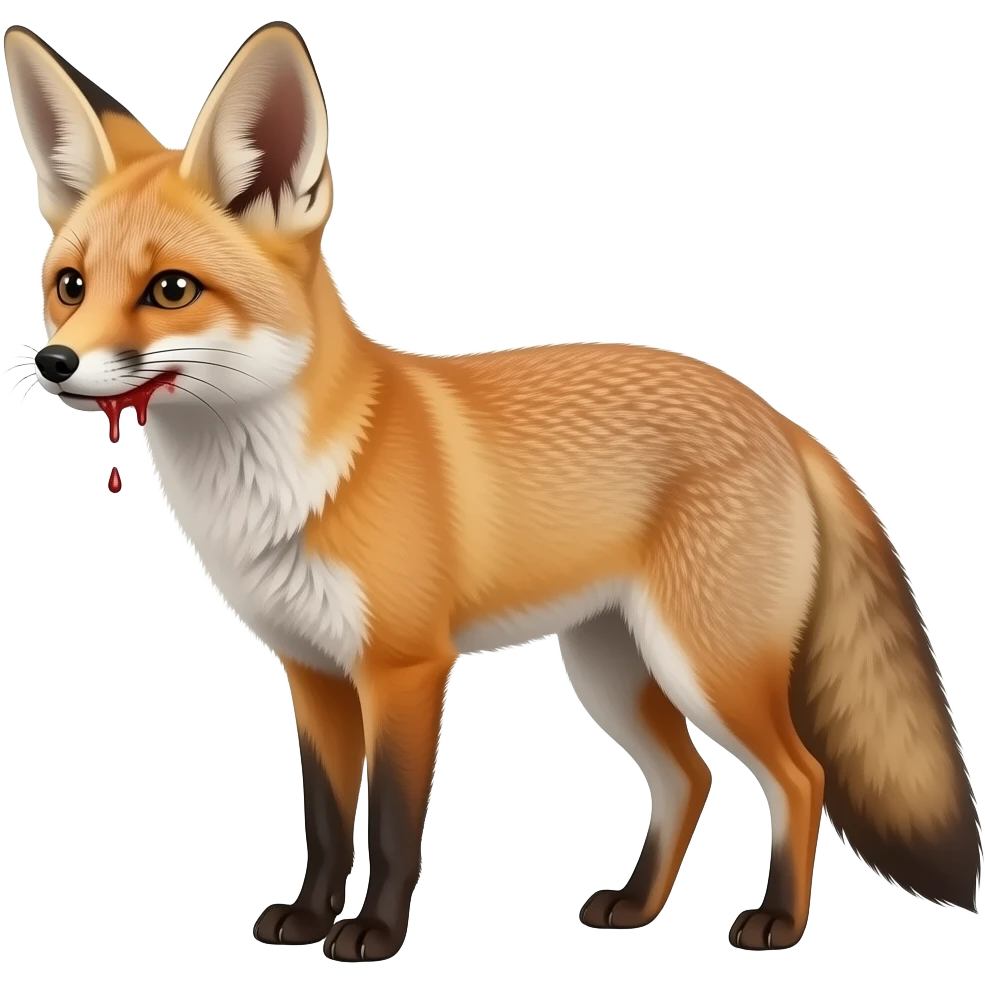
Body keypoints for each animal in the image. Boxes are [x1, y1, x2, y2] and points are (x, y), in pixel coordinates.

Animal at [4, 20, 982, 962]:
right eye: (70, 286)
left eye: (171, 289)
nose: (54, 363)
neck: (294, 481)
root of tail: (777, 416)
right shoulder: (311, 671)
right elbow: (326, 820)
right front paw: (310, 917)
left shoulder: (404, 668)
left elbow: (392, 825)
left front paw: (372, 935)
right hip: (612, 668)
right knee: (689, 776)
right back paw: (634, 906)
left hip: (708, 665)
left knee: (799, 774)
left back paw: (776, 919)